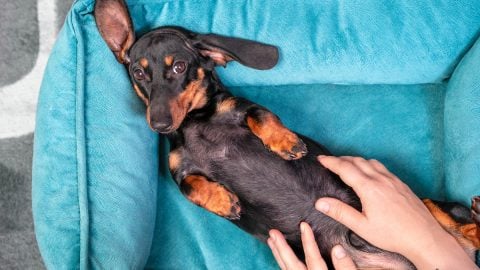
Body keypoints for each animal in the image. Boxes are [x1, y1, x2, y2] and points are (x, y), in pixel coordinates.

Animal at [94, 1, 480, 268]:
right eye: (138, 73)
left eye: (179, 66)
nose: (160, 124)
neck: (195, 122)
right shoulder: (179, 170)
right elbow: (190, 187)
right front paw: (223, 201)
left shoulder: (243, 109)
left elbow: (263, 117)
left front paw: (286, 143)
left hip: (429, 206)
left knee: (462, 227)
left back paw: (473, 219)